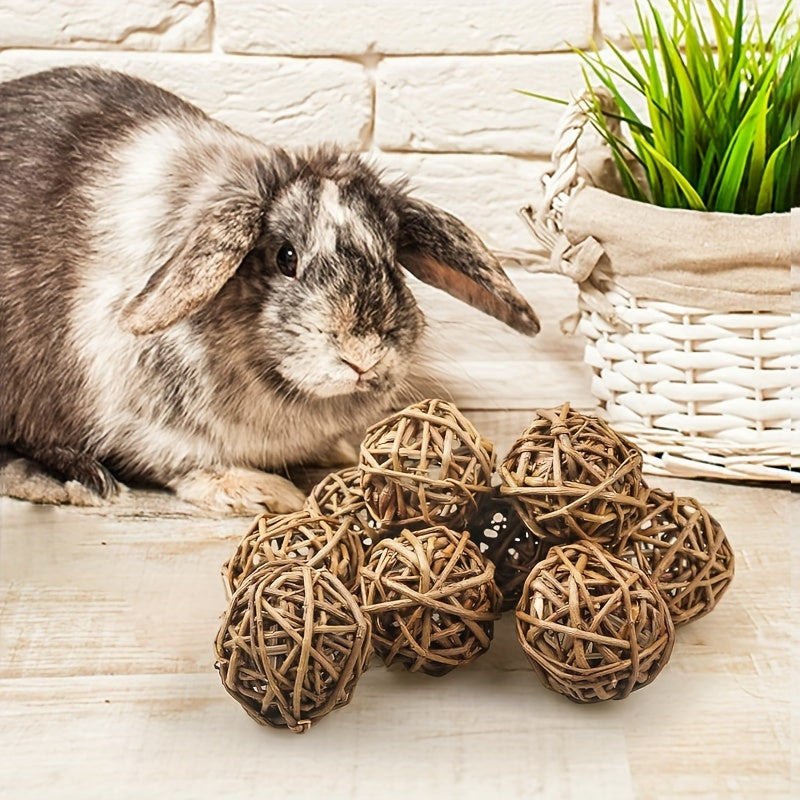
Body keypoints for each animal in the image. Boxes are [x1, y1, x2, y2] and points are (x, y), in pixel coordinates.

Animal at [0, 66, 540, 514]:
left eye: (392, 259)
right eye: (285, 257)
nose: (361, 355)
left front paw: (343, 450)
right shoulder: (145, 425)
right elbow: (185, 465)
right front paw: (262, 492)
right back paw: (74, 481)